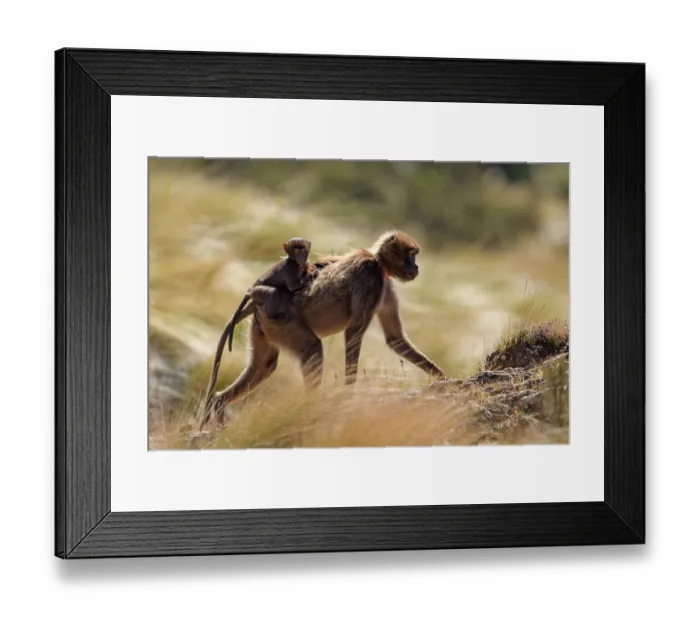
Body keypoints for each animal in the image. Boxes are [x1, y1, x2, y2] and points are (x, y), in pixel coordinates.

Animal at [201, 230, 446, 428]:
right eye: (411, 254)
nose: (416, 267)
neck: (378, 261)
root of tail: (256, 303)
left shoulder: (385, 284)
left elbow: (394, 339)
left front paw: (441, 378)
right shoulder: (371, 278)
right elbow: (354, 333)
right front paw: (349, 394)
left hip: (264, 327)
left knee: (265, 365)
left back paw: (220, 403)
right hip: (281, 322)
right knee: (313, 349)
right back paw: (311, 408)